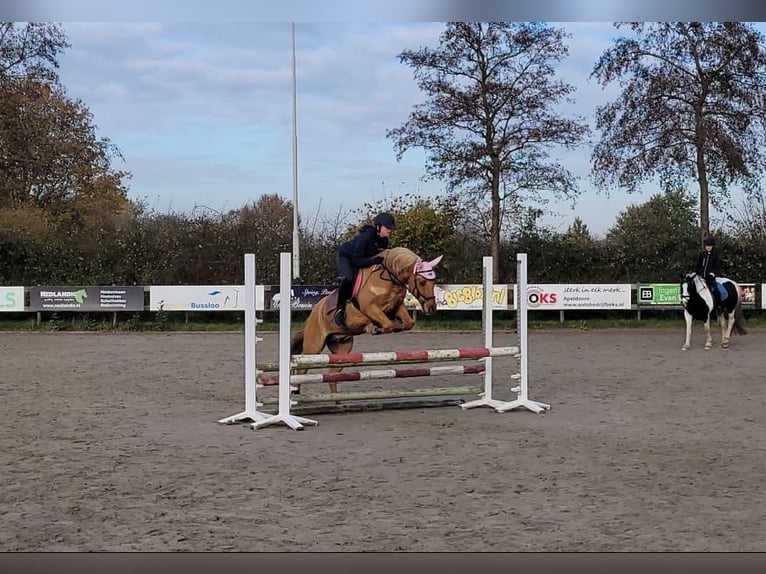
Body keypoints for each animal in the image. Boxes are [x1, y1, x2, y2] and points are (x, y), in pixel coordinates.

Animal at [290, 248, 448, 396]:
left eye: (434, 281)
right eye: (422, 281)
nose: (431, 308)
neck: (388, 279)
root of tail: (314, 312)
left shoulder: (397, 306)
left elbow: (408, 323)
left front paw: (393, 327)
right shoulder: (369, 308)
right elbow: (386, 324)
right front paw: (376, 328)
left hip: (342, 348)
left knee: (332, 375)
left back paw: (336, 401)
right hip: (314, 346)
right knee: (301, 370)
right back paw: (296, 392)